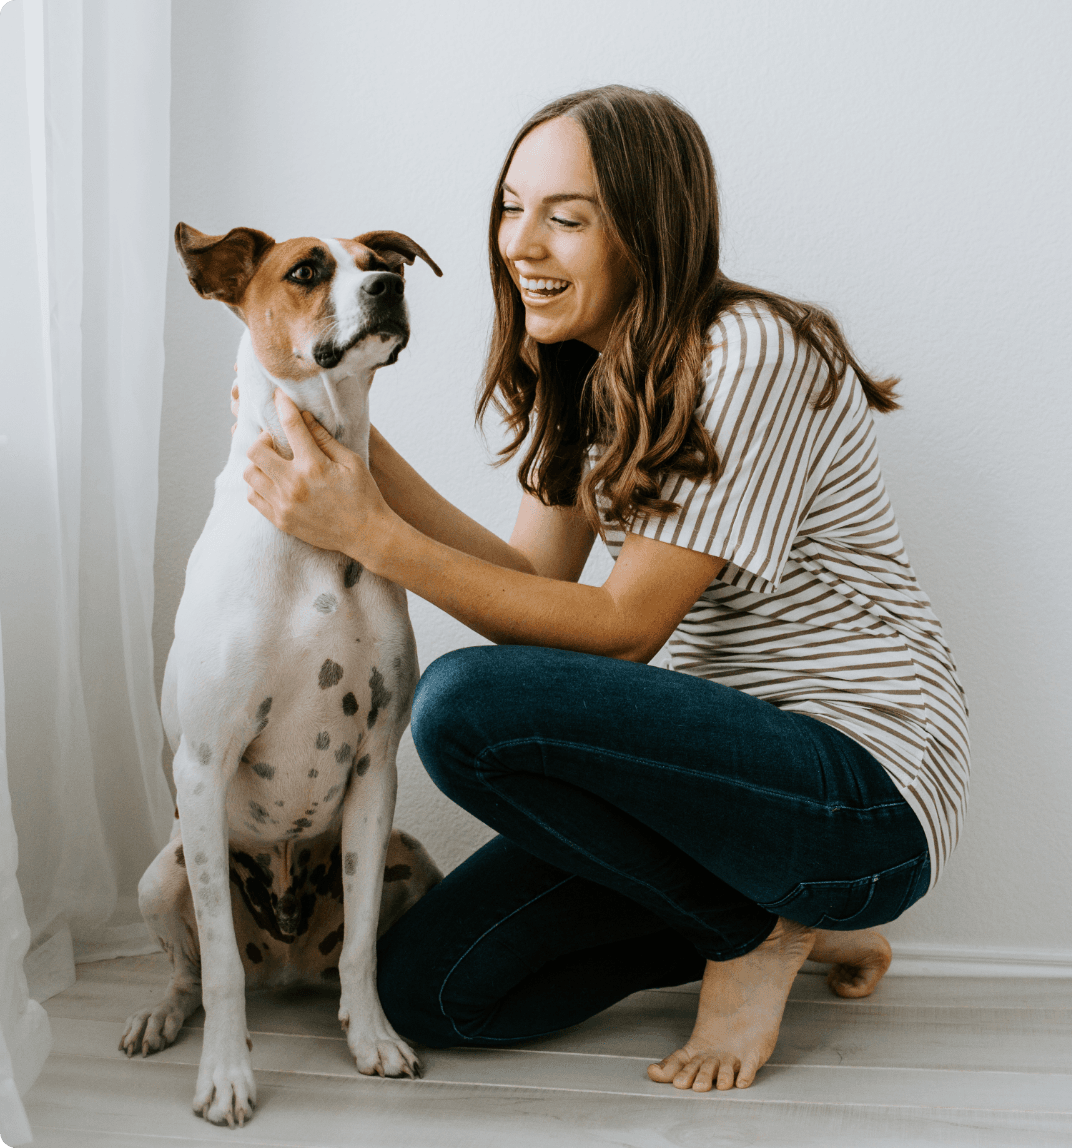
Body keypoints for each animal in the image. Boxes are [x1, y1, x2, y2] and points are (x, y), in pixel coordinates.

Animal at [120, 226, 445, 1129]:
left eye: (384, 260)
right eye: (306, 269)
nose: (388, 287)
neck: (312, 545)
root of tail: (288, 963)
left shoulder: (375, 769)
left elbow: (364, 942)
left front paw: (373, 1039)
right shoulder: (202, 766)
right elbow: (220, 967)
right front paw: (226, 1077)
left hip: (411, 854)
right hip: (159, 875)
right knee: (192, 969)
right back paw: (161, 1017)